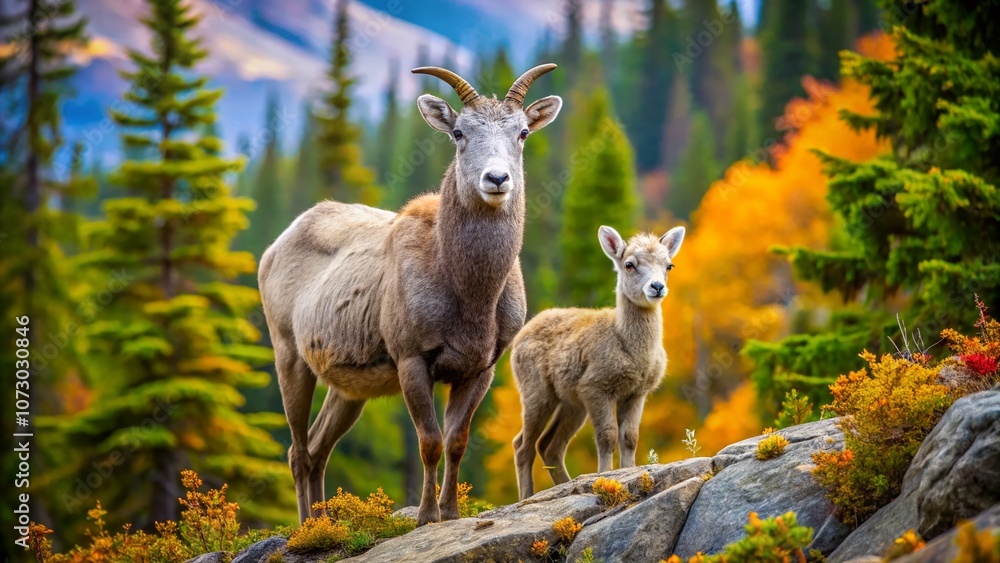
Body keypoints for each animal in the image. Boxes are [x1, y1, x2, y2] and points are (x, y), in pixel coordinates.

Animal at [258, 64, 562, 525]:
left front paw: (451, 513)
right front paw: (425, 516)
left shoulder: (481, 367)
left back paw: (326, 523)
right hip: (289, 355)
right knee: (297, 452)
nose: (496, 179)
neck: (472, 299)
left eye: (523, 132)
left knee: (318, 448)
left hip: (348, 389)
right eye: (459, 132)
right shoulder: (411, 359)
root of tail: (270, 251)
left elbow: (456, 441)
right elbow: (430, 442)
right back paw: (308, 528)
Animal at [511, 224, 685, 500]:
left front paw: (628, 470)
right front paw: (605, 475)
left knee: (549, 446)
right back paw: (527, 497)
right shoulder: (595, 387)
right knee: (522, 445)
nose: (657, 286)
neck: (635, 354)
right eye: (629, 264)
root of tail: (518, 337)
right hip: (536, 393)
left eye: (669, 265)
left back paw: (564, 484)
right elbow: (607, 436)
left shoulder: (637, 393)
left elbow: (630, 436)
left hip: (571, 404)